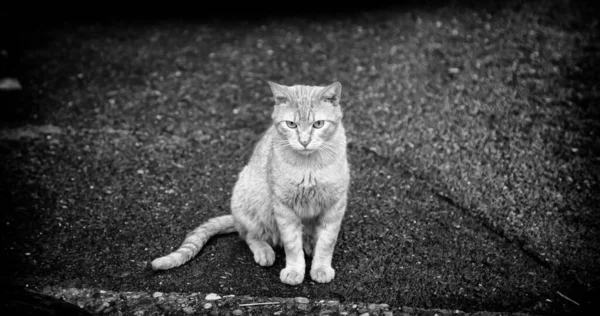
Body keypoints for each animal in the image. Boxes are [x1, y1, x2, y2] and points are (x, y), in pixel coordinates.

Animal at [151, 81, 352, 284]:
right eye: (291, 124)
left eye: (318, 124)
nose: (304, 142)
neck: (308, 166)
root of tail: (235, 218)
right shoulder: (283, 207)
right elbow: (292, 244)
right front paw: (295, 270)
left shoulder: (335, 206)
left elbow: (326, 242)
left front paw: (321, 267)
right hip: (254, 204)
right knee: (251, 236)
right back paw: (265, 251)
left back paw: (309, 244)